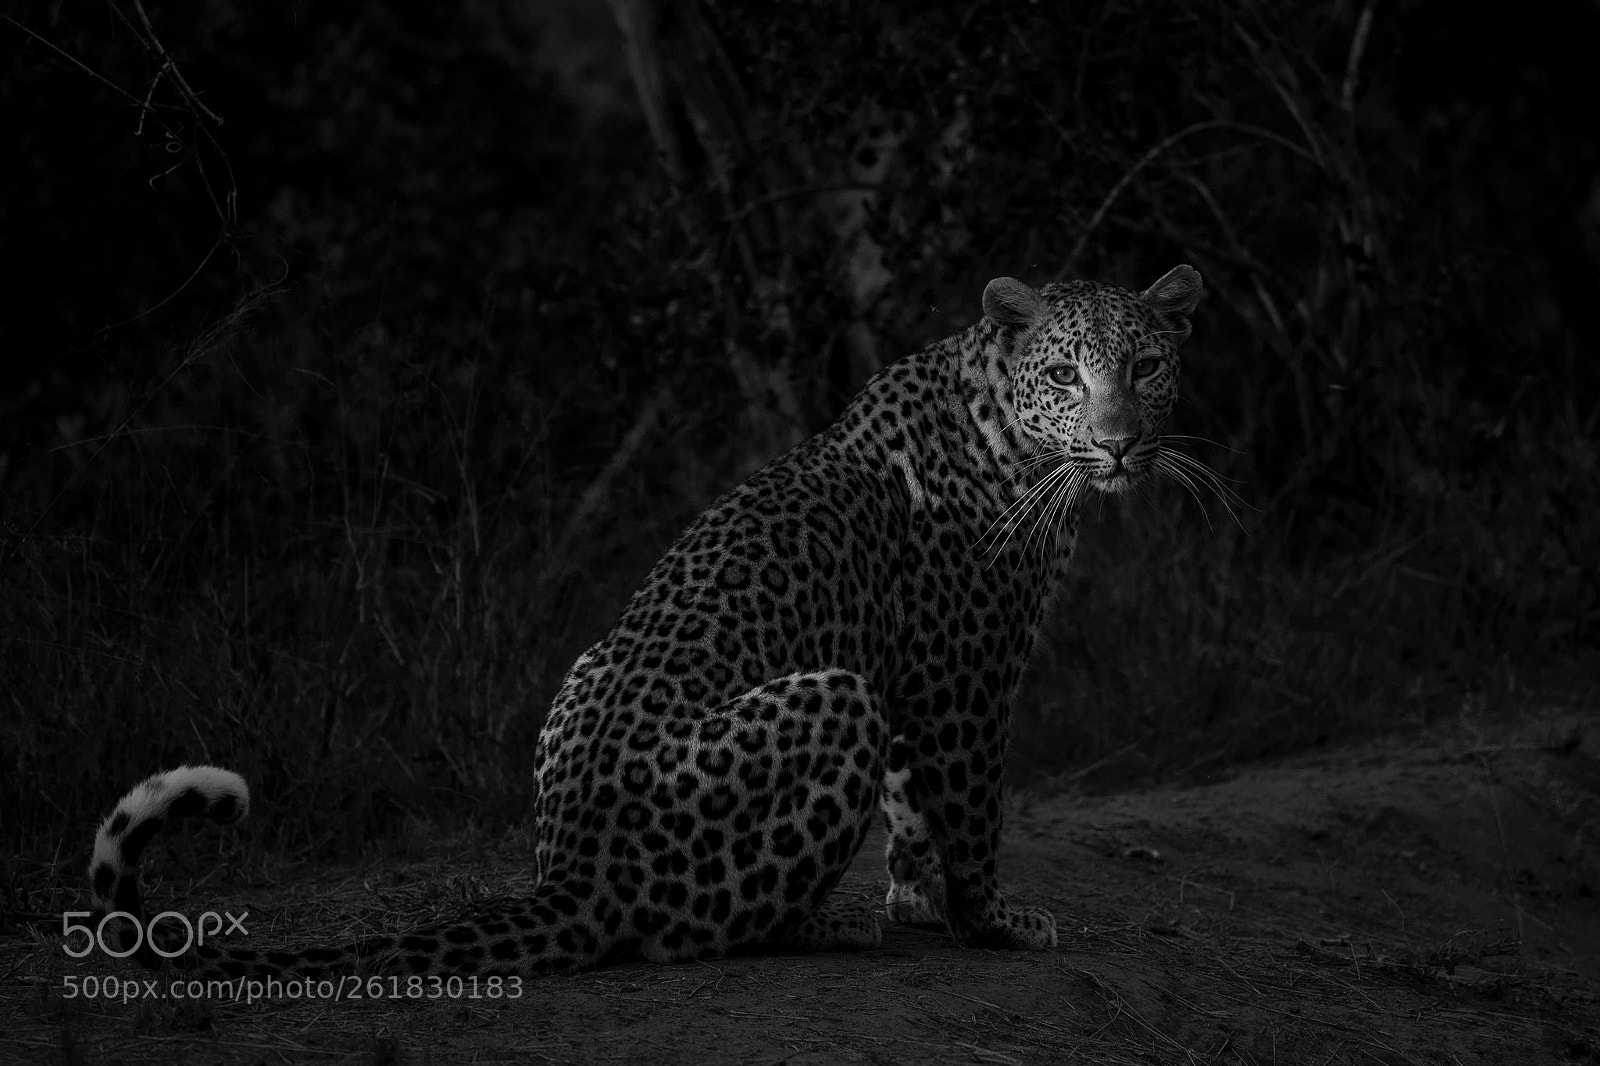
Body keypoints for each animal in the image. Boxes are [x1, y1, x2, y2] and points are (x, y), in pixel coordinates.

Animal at [87, 265, 1204, 979]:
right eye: (1065, 374)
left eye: (1147, 367)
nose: (1120, 444)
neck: (1007, 430)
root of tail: (576, 873)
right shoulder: (967, 675)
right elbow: (969, 814)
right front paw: (991, 922)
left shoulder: (915, 673)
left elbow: (911, 812)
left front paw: (914, 898)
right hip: (836, 695)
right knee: (696, 934)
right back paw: (826, 928)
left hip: (601, 668)